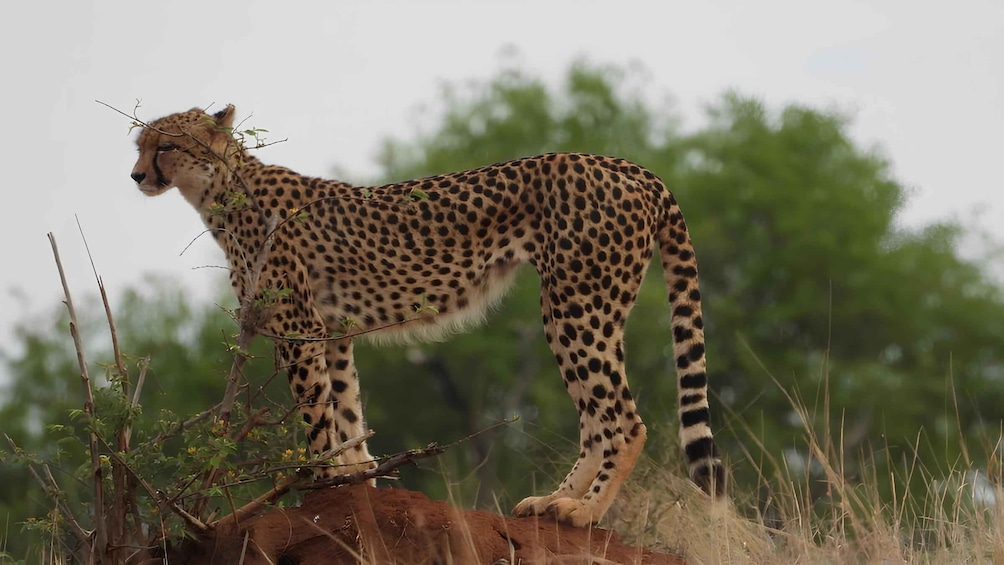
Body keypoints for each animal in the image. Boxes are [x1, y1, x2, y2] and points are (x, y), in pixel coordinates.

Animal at [129, 104, 724, 526]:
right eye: (139, 145)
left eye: (166, 145)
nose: (136, 176)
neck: (222, 191)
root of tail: (630, 166)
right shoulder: (333, 330)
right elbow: (347, 415)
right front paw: (355, 485)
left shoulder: (300, 326)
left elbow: (317, 418)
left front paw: (318, 487)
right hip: (579, 309)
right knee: (597, 420)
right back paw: (554, 502)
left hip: (578, 305)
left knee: (625, 420)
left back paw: (585, 511)